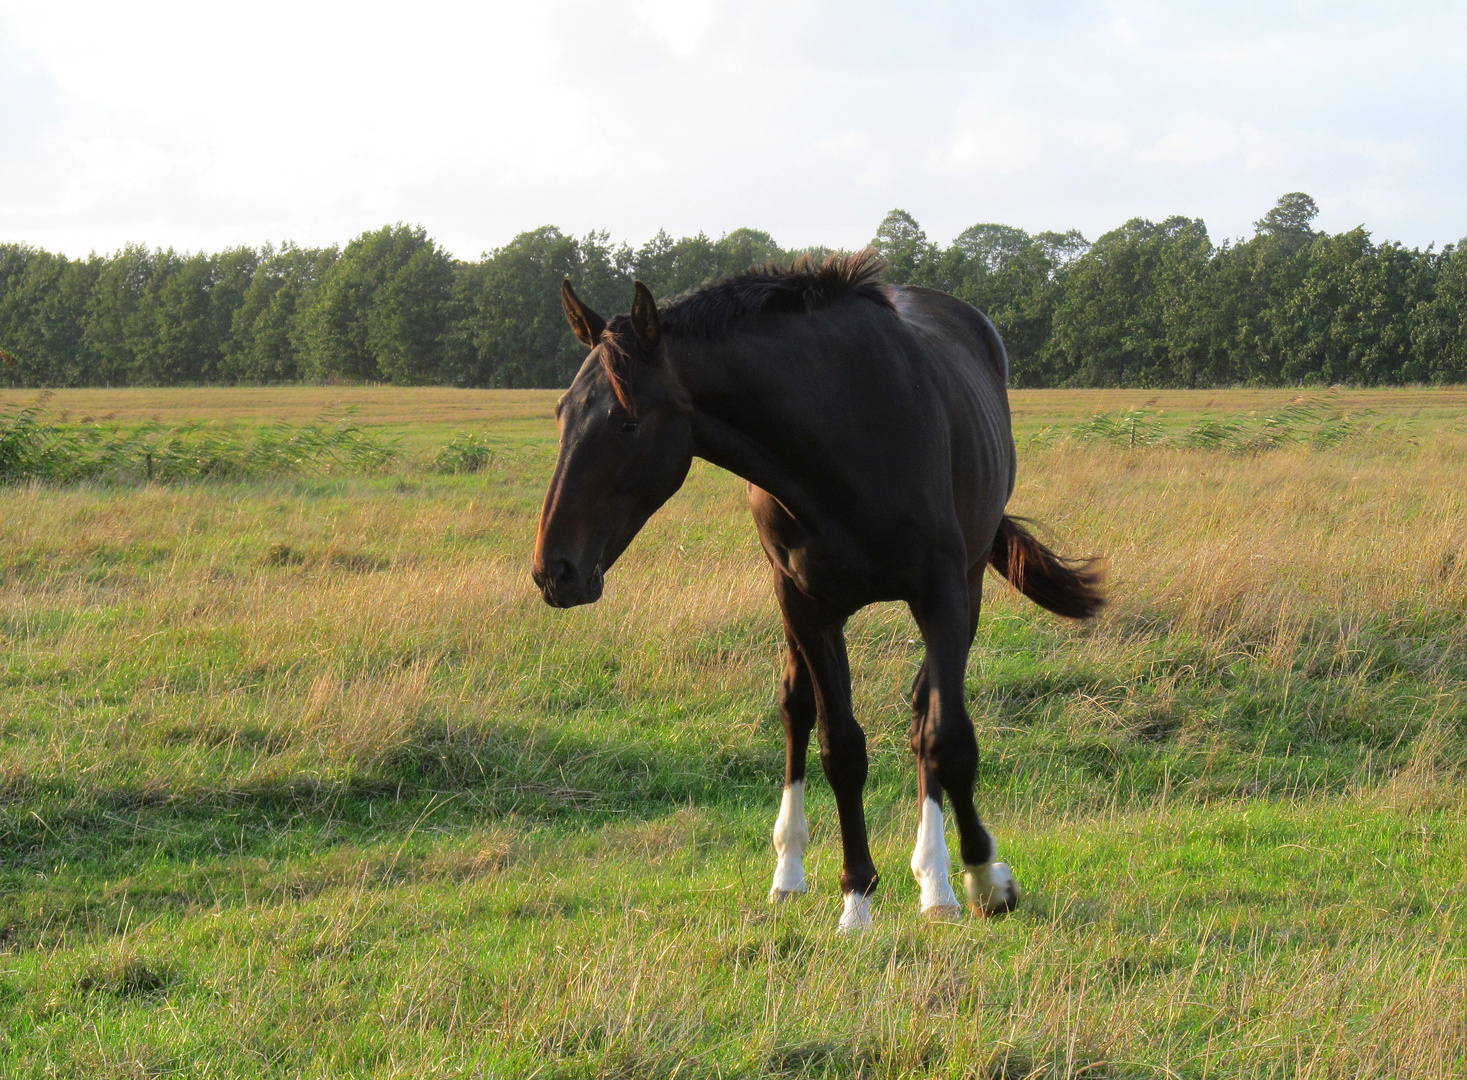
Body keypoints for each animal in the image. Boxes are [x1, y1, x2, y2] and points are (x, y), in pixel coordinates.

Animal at [531, 250, 1103, 927]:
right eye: (562, 412)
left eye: (625, 421)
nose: (554, 571)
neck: (844, 430)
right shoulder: (807, 606)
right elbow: (840, 746)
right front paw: (856, 894)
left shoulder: (942, 594)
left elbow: (947, 737)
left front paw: (986, 879)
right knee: (797, 708)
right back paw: (791, 871)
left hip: (965, 589)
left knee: (923, 717)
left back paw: (935, 880)